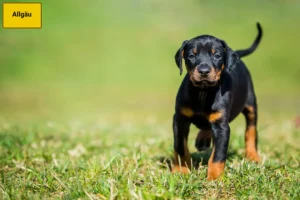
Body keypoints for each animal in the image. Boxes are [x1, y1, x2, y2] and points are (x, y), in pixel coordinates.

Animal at [171, 22, 262, 180]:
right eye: (191, 56)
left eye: (217, 56)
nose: (203, 71)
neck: (203, 92)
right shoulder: (179, 119)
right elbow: (180, 147)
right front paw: (181, 171)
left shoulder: (222, 127)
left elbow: (217, 156)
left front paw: (214, 179)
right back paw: (203, 139)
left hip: (251, 104)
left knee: (251, 130)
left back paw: (252, 156)